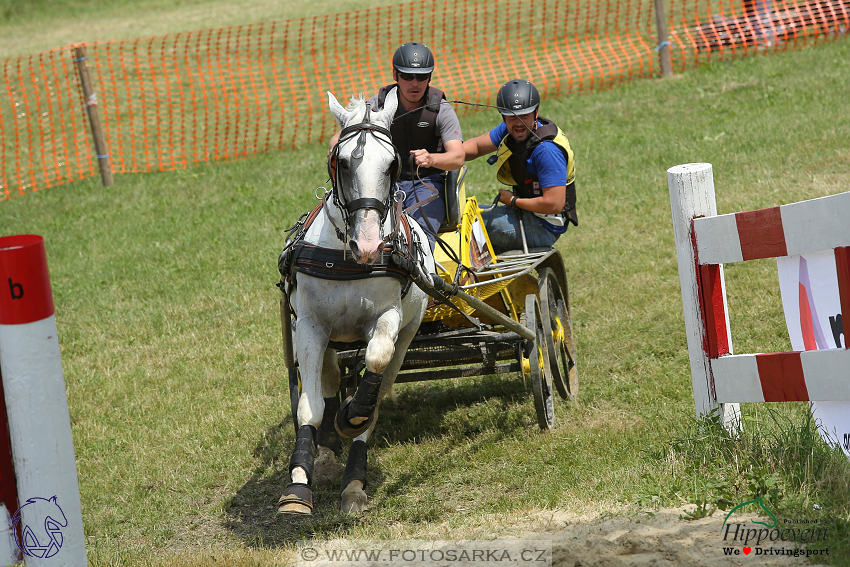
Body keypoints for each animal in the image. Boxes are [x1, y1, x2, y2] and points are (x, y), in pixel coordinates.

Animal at [280, 87, 434, 516]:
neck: (347, 258)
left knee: (376, 390)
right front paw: (298, 482)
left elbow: (374, 374)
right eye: (342, 161)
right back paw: (327, 454)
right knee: (331, 380)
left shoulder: (389, 320)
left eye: (392, 163)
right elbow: (312, 406)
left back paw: (353, 480)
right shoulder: (311, 326)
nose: (367, 245)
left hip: (407, 334)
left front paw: (353, 418)